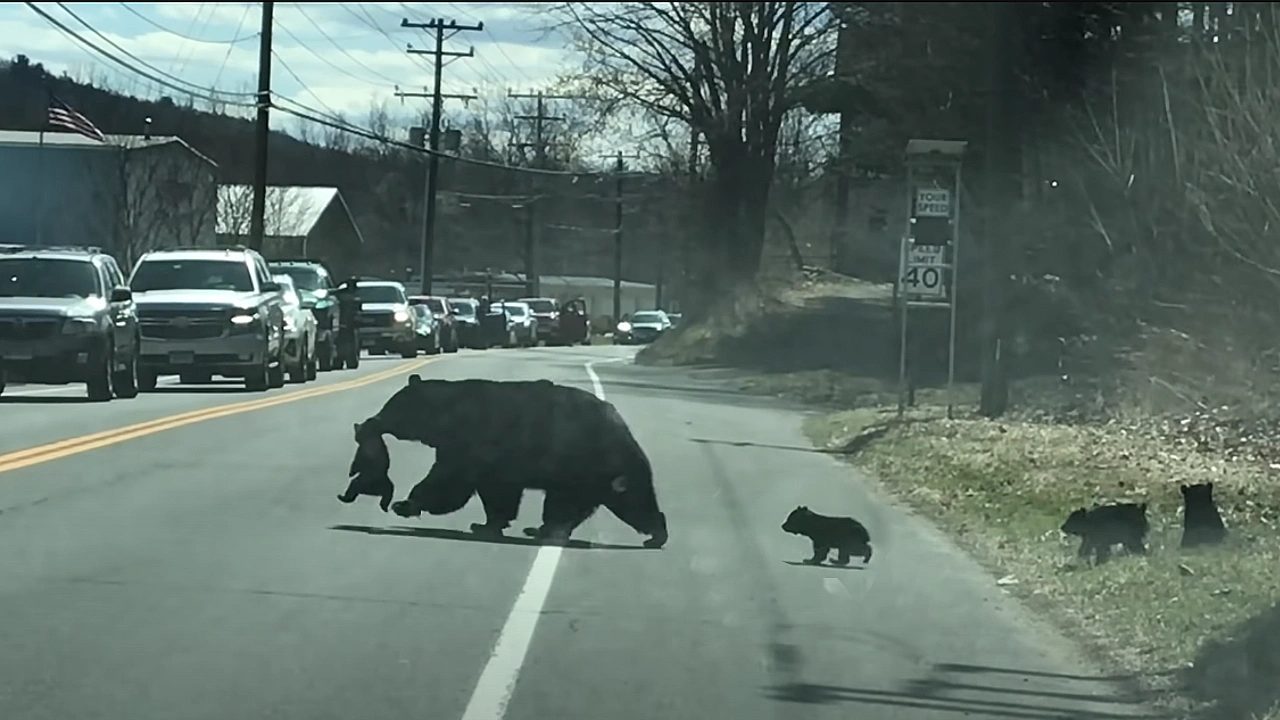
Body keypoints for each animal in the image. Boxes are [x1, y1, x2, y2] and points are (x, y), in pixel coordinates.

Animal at [345, 371, 675, 545]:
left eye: (391, 407)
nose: (371, 421)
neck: (447, 416)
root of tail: (622, 425)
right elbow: (492, 492)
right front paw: (488, 523)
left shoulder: (475, 443)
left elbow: (451, 481)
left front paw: (406, 504)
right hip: (595, 472)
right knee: (617, 500)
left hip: (587, 461)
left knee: (613, 499)